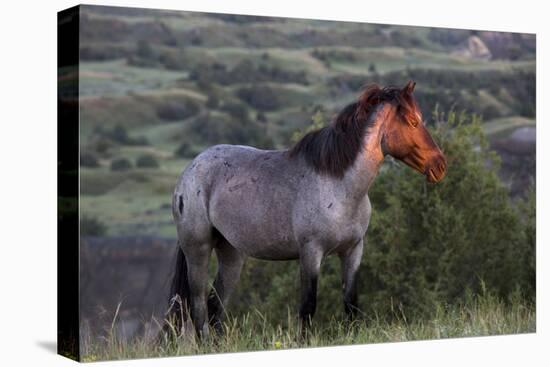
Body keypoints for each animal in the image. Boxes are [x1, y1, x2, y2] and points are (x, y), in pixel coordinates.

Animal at [163, 80, 448, 340]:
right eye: (412, 121)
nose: (440, 165)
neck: (338, 185)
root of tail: (190, 170)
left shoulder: (353, 251)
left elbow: (351, 303)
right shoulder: (311, 253)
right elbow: (308, 306)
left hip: (231, 253)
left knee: (215, 305)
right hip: (198, 250)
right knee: (198, 306)